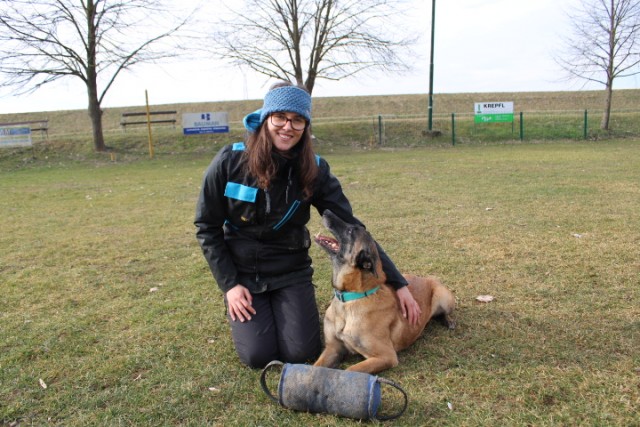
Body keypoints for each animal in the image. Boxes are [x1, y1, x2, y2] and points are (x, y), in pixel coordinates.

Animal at [314, 211, 456, 374]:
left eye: (351, 231)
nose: (326, 211)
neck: (351, 297)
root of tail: (427, 278)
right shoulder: (333, 349)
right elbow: (313, 369)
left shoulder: (386, 356)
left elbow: (349, 371)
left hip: (443, 296)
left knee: (443, 313)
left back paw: (448, 320)